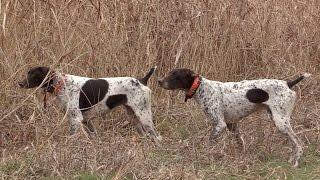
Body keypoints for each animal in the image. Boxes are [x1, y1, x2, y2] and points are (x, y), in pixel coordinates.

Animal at [18, 65, 161, 145]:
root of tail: (141, 81)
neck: (62, 84)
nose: (20, 83)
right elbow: (94, 137)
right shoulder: (86, 121)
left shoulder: (76, 119)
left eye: (33, 74)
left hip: (144, 116)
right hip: (135, 118)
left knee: (157, 137)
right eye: (28, 73)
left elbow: (71, 137)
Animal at [159, 68, 312, 167]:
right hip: (278, 120)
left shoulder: (220, 125)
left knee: (299, 143)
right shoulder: (231, 125)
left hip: (281, 122)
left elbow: (209, 142)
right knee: (294, 142)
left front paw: (203, 154)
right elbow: (240, 143)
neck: (202, 88)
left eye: (175, 75)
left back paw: (296, 161)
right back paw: (291, 159)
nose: (159, 81)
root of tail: (288, 83)